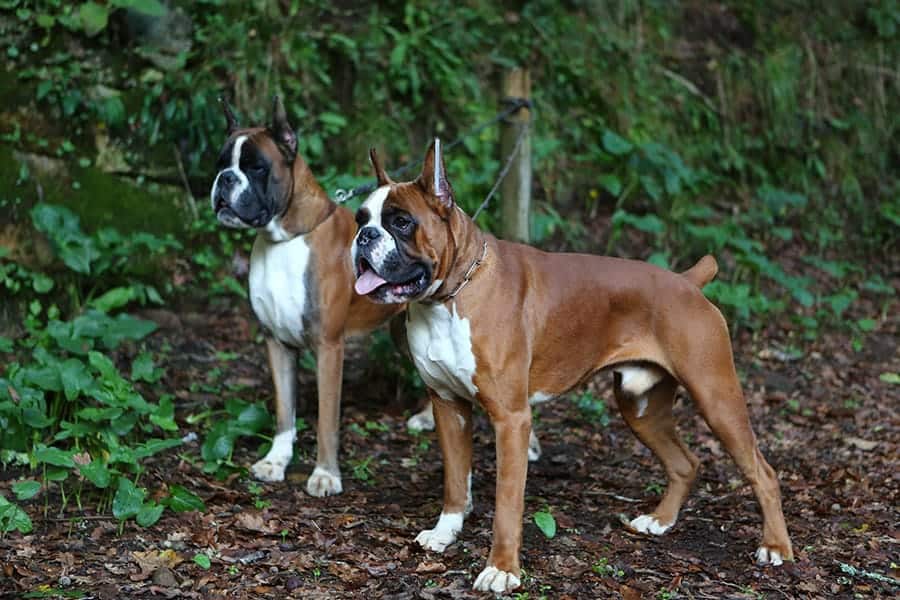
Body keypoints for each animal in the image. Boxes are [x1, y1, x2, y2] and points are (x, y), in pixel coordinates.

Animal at [348, 139, 792, 592]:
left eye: (401, 222)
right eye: (360, 218)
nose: (364, 236)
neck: (449, 296)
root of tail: (686, 281)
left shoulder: (512, 420)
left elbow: (507, 504)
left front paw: (502, 569)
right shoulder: (448, 407)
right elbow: (455, 482)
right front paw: (445, 533)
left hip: (716, 399)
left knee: (763, 473)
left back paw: (775, 547)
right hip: (641, 407)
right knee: (686, 464)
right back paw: (659, 521)